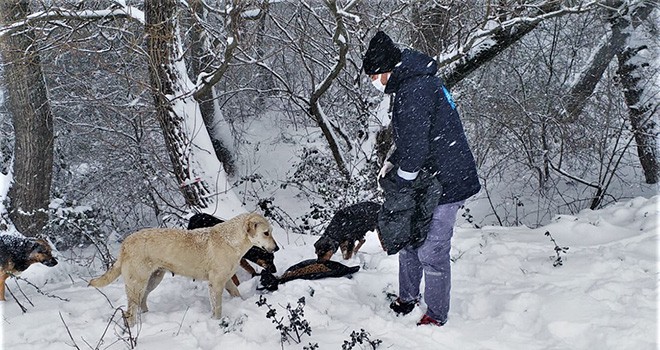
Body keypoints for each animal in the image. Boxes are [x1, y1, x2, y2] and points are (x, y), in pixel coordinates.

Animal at [88, 212, 278, 326]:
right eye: (266, 233)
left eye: (271, 231)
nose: (276, 248)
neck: (231, 241)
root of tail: (125, 244)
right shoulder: (215, 284)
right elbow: (217, 308)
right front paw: (216, 322)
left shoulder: (226, 280)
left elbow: (237, 293)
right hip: (137, 284)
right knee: (129, 312)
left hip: (152, 280)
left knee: (142, 302)